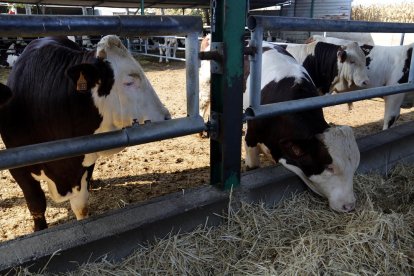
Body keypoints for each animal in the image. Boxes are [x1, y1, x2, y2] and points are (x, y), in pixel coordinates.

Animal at [0, 35, 171, 232]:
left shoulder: (84, 163)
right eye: (129, 82)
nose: (166, 116)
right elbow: (37, 205)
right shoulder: (18, 169)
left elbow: (81, 207)